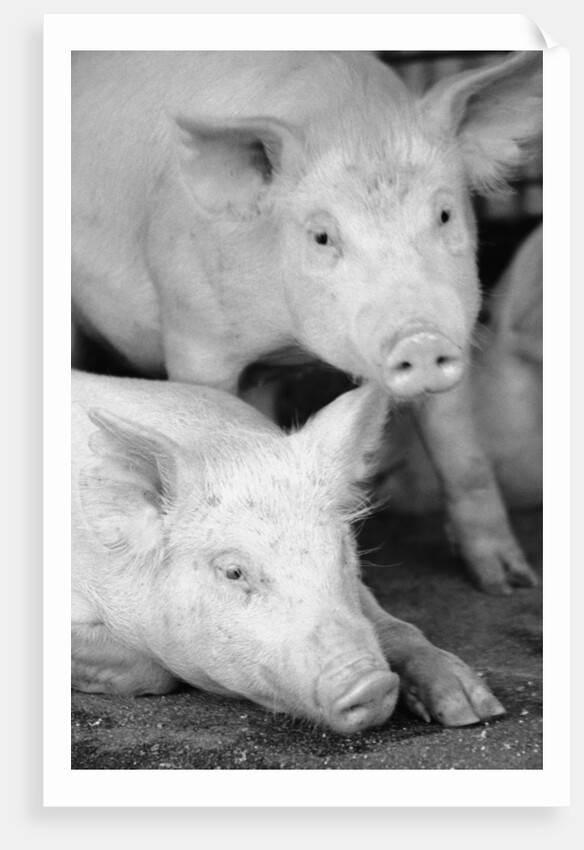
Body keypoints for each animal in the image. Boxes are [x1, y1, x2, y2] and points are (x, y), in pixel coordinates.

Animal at [72, 371, 505, 733]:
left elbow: (396, 627)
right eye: (233, 572)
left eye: (342, 551)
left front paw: (474, 710)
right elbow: (153, 671)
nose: (371, 683)